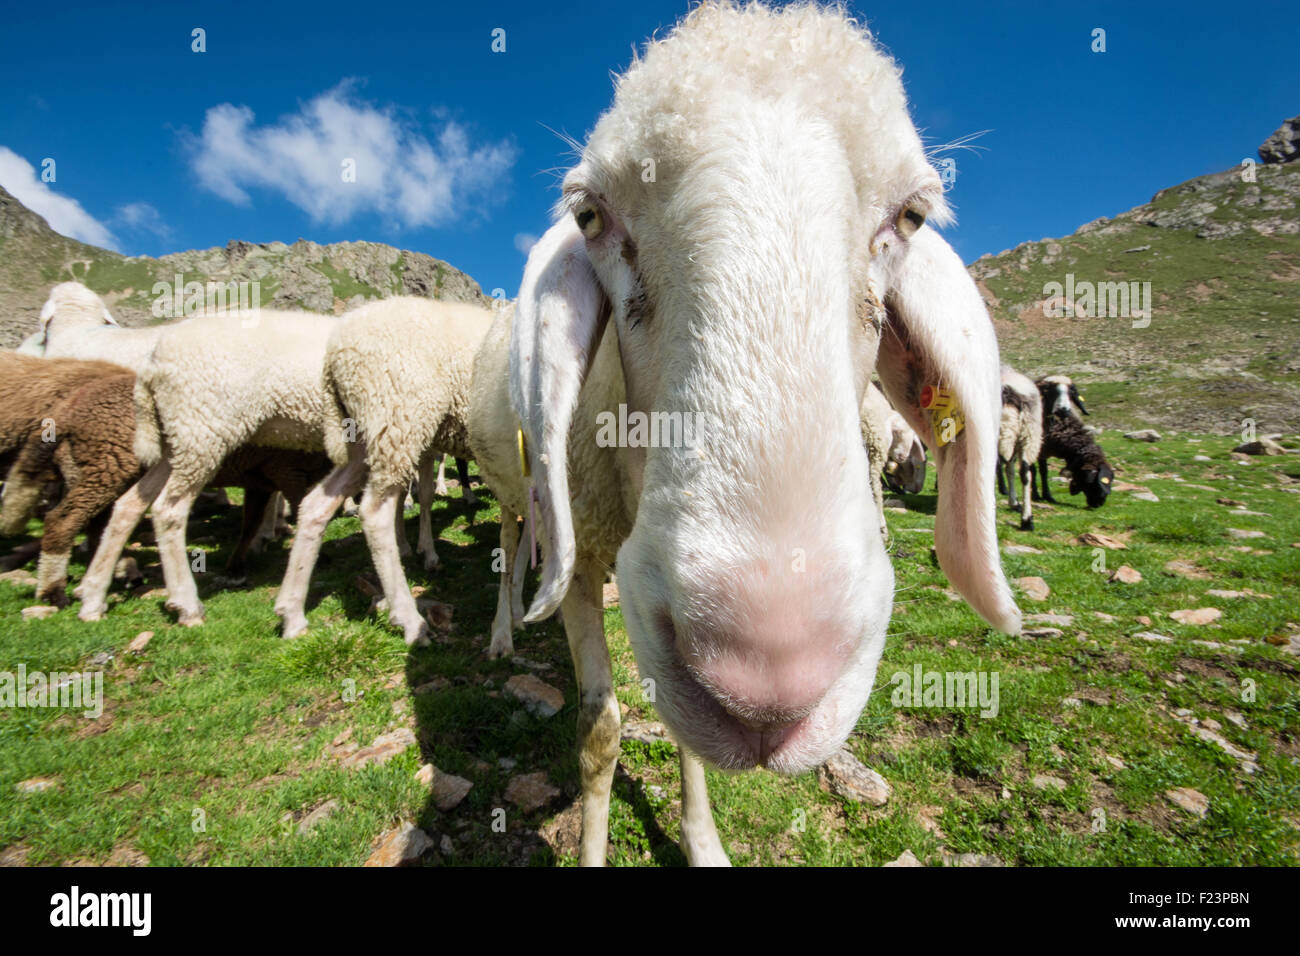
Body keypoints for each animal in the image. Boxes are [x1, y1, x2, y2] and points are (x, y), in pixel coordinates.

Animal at [74, 304, 340, 621]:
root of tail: (152, 364)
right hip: (202, 431)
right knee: (168, 510)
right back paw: (186, 604)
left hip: (178, 440)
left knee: (130, 505)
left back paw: (93, 597)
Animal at [274, 295, 491, 647]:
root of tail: (335, 350)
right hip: (399, 417)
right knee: (375, 514)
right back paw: (409, 619)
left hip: (363, 438)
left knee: (317, 504)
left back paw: (292, 614)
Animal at [462, 1, 1019, 868]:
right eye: (589, 213)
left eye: (912, 214)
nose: (768, 683)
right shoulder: (582, 564)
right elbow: (599, 732)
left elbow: (683, 736)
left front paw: (702, 840)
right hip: (521, 492)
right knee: (517, 540)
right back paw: (502, 628)